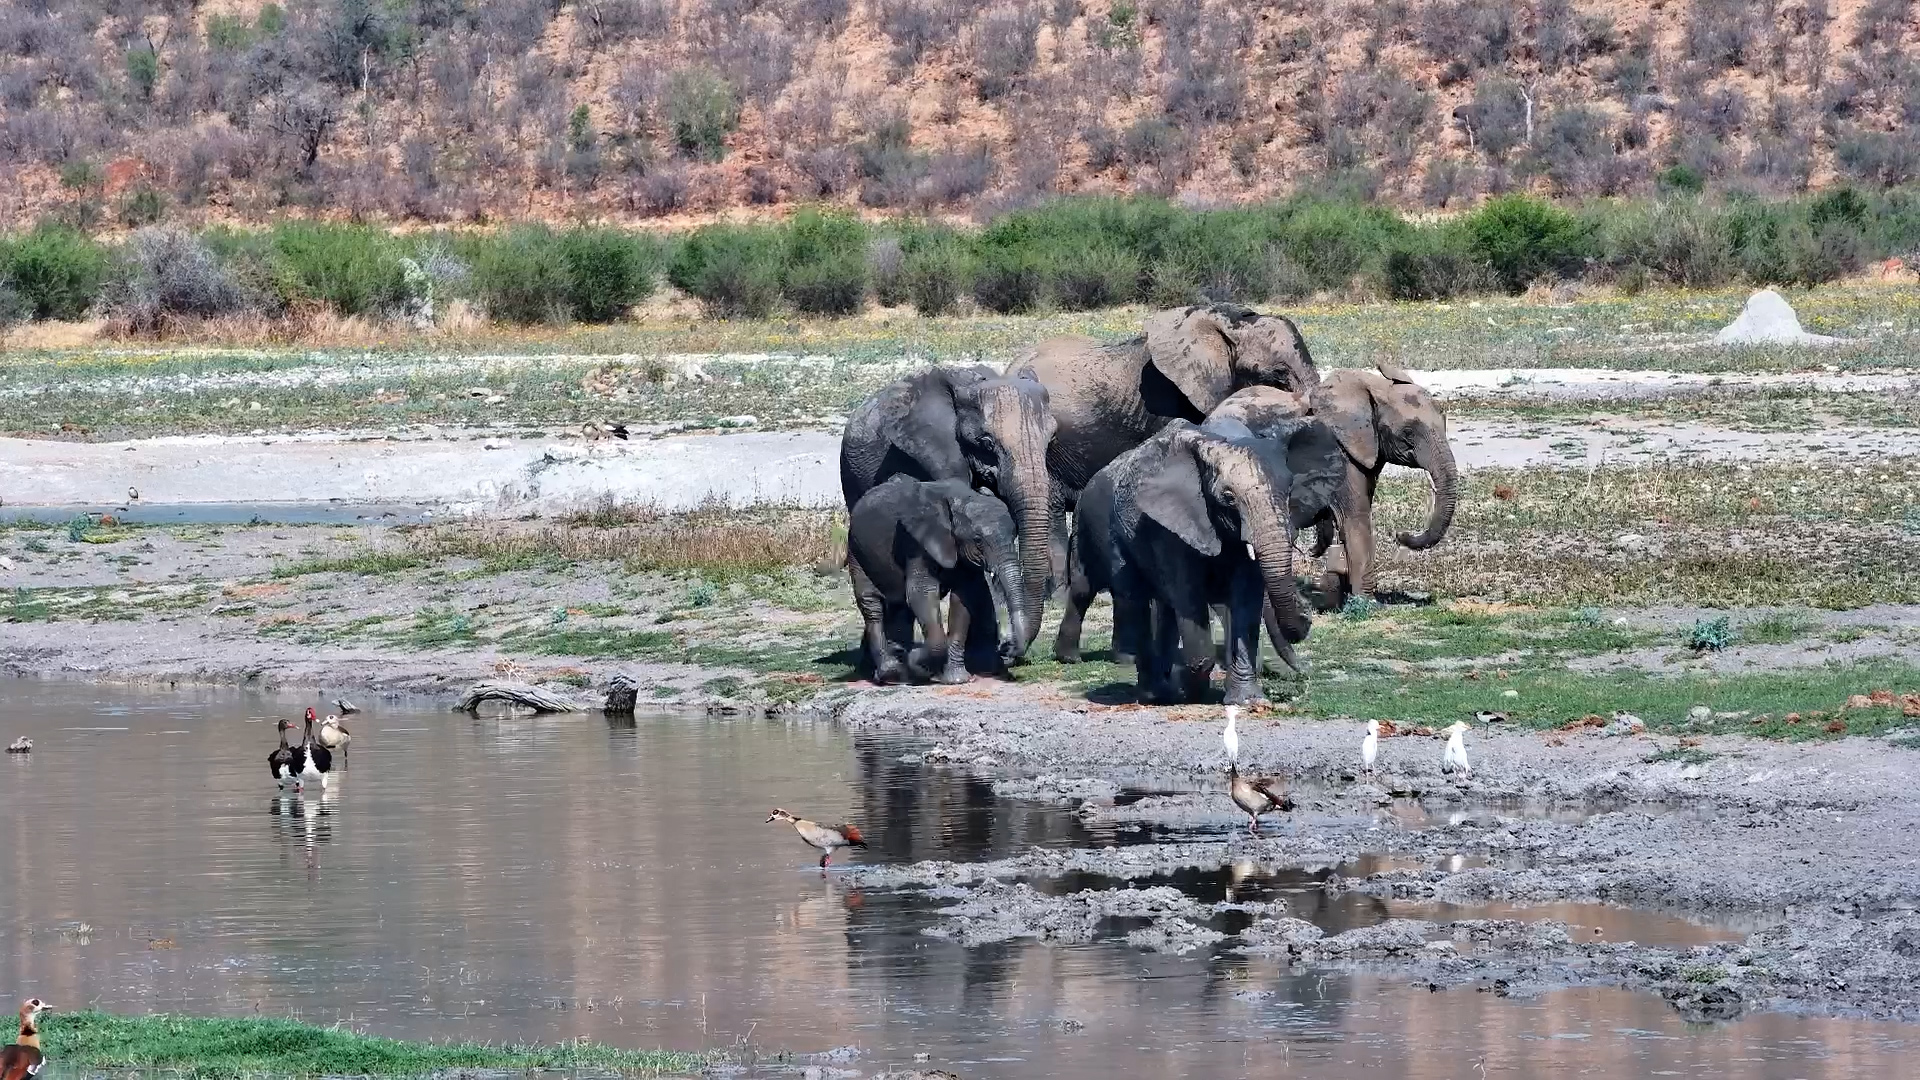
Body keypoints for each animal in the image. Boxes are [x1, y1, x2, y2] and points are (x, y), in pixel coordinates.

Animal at [846, 476, 1032, 685]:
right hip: (856, 550)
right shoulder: (915, 543)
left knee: (899, 607)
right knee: (872, 605)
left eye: (1014, 534)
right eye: (978, 540)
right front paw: (915, 661)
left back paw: (899, 668)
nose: (1007, 647)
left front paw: (956, 680)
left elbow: (964, 599)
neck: (961, 498)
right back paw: (891, 672)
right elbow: (922, 595)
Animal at [1094, 420, 1322, 705]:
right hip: (1116, 533)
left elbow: (1246, 600)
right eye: (1229, 497)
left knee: (1165, 607)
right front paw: (1186, 687)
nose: (1306, 615)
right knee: (1135, 599)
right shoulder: (1168, 526)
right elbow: (1187, 595)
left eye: (1290, 490)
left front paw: (1247, 701)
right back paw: (1154, 694)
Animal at [1208, 359, 1457, 607]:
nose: (1400, 534)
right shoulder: (1340, 450)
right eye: (1407, 432)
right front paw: (1366, 603)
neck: (1370, 390)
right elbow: (1355, 516)